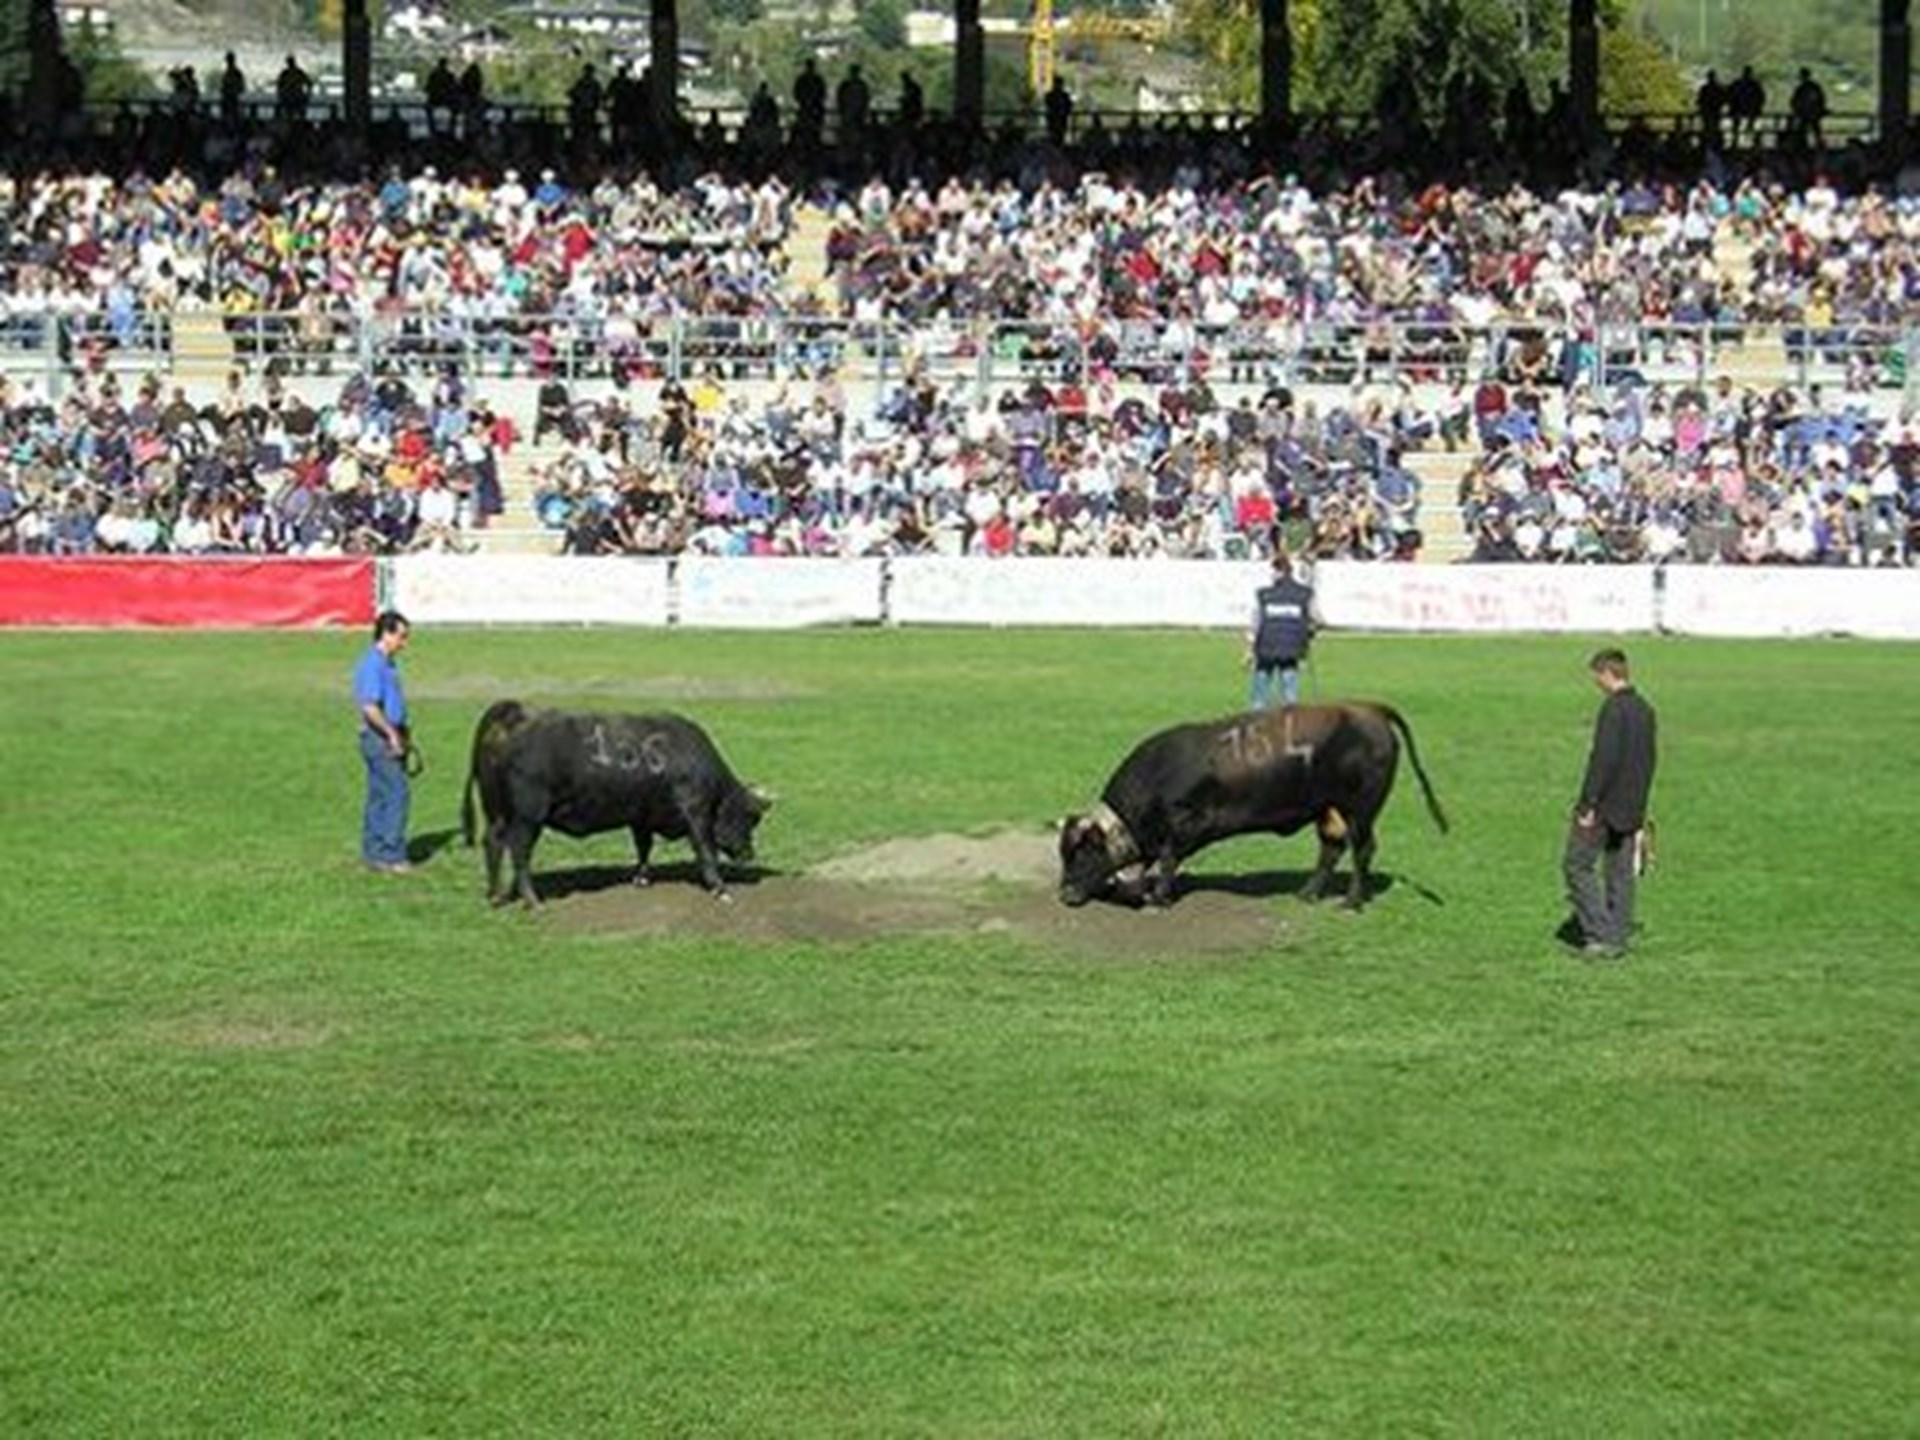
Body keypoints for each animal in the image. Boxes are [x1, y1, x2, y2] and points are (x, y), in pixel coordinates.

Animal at [461, 699, 772, 906]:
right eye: (749, 817)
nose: (749, 854)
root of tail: (514, 711)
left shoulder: (641, 817)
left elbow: (644, 847)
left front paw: (642, 879)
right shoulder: (696, 814)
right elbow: (706, 853)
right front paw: (720, 889)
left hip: (497, 813)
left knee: (493, 843)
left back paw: (495, 896)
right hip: (527, 818)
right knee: (519, 852)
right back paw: (532, 901)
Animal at [1057, 702, 1447, 911]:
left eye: (1082, 852)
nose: (1065, 894)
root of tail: (1367, 709)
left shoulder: (1185, 826)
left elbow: (1168, 860)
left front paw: (1160, 896)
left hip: (1360, 809)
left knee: (1362, 849)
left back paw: (1351, 902)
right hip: (1329, 810)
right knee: (1332, 848)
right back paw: (1308, 894)